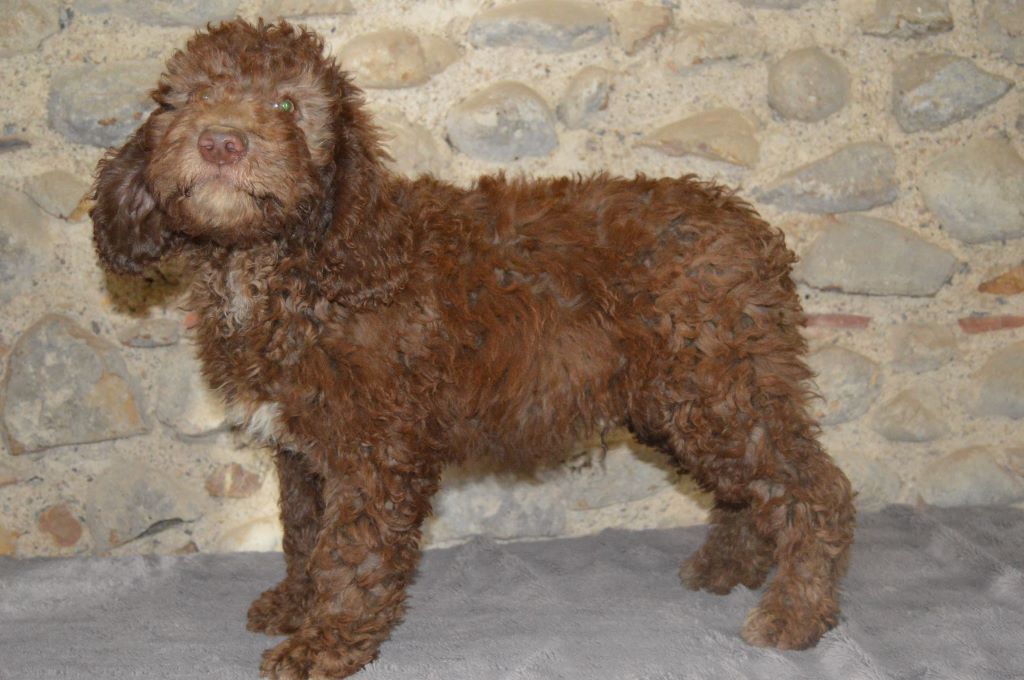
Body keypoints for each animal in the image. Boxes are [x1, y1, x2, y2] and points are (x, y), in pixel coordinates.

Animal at [91, 19, 855, 680]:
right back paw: (730, 569)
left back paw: (796, 615)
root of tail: (748, 227)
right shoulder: (303, 450)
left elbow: (352, 553)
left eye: (285, 103)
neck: (297, 264)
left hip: (718, 387)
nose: (221, 141)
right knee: (750, 491)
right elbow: (305, 534)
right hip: (683, 401)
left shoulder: (375, 448)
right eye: (184, 99)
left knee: (813, 488)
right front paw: (293, 606)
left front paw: (326, 643)